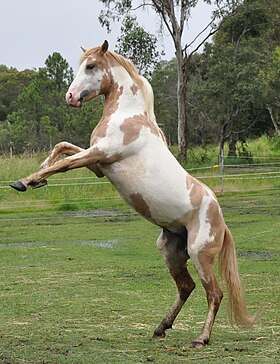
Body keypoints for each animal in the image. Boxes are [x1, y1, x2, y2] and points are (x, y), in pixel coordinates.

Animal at [9, 40, 258, 346]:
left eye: (90, 66)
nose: (70, 97)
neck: (128, 116)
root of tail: (221, 221)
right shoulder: (98, 165)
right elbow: (62, 148)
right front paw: (37, 178)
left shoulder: (101, 154)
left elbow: (64, 161)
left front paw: (24, 181)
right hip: (171, 252)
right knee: (186, 287)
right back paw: (160, 328)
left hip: (201, 255)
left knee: (215, 293)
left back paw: (201, 338)